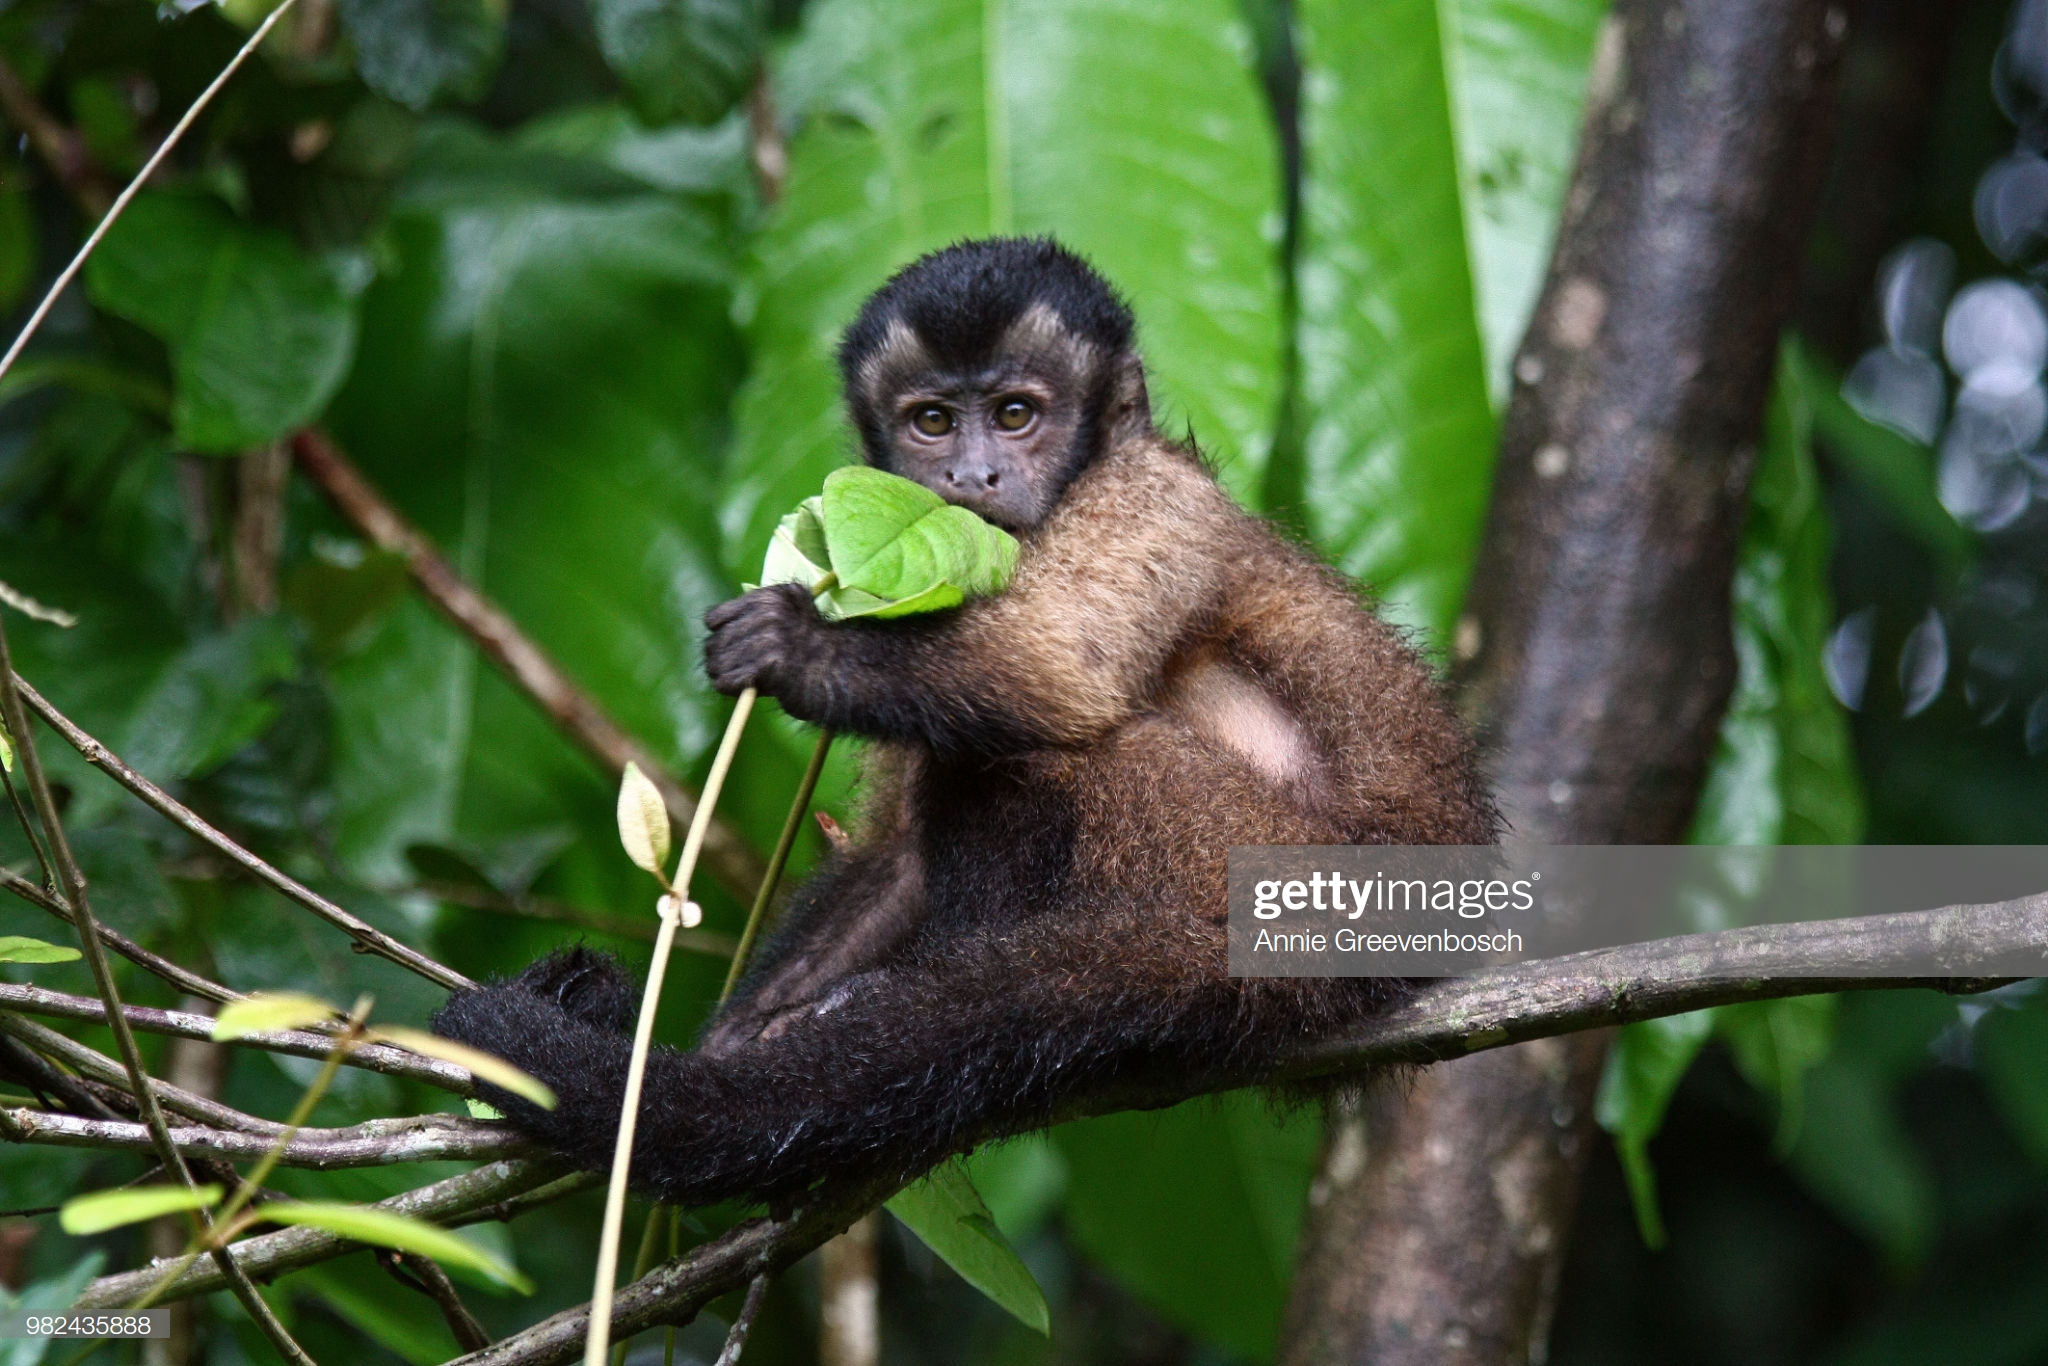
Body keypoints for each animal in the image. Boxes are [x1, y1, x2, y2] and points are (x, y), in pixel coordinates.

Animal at [431, 236, 1496, 1210]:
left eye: (1017, 415)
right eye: (933, 422)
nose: (973, 478)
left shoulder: (1150, 498)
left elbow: (1060, 672)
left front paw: (799, 648)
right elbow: (897, 853)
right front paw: (740, 1043)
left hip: (1253, 860)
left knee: (1032, 758)